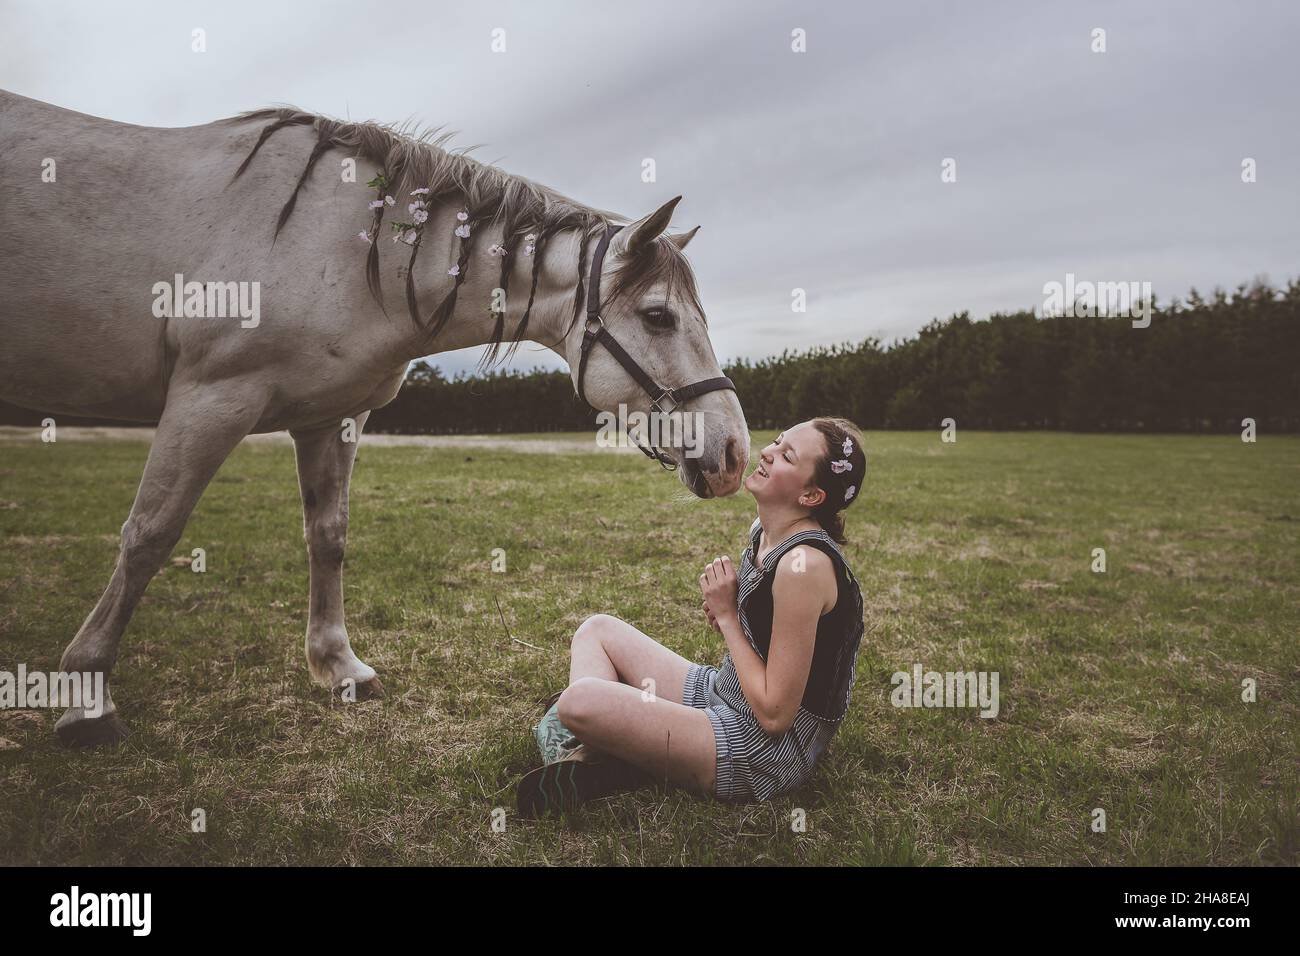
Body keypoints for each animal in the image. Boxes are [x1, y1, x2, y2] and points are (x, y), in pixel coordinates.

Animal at [0, 91, 748, 749]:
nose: (735, 452)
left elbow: (327, 537)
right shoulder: (210, 399)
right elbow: (149, 537)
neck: (341, 247)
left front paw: (340, 669)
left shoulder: (331, 419)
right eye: (658, 316)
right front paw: (88, 700)